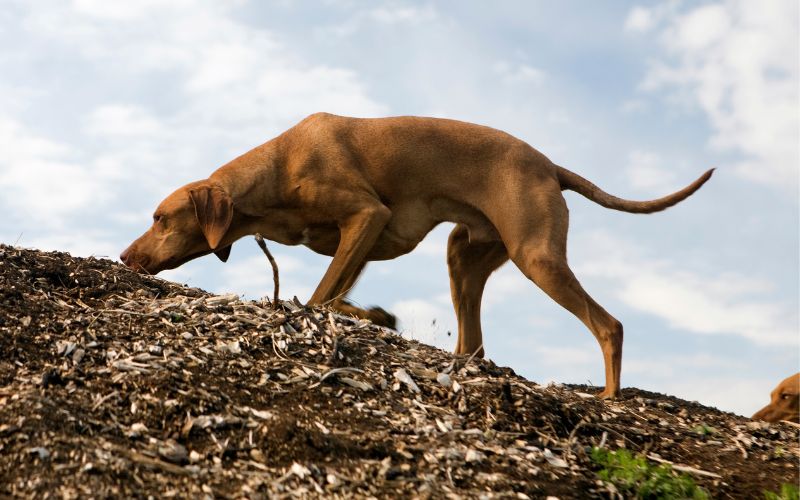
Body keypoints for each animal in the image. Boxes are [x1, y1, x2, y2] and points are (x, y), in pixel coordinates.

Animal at [120, 113, 712, 398]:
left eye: (159, 218)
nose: (125, 257)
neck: (277, 169)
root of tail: (551, 166)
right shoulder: (361, 238)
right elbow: (337, 296)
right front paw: (375, 317)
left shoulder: (366, 216)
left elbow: (320, 295)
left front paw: (354, 318)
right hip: (463, 257)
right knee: (473, 343)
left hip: (536, 255)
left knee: (608, 324)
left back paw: (609, 396)